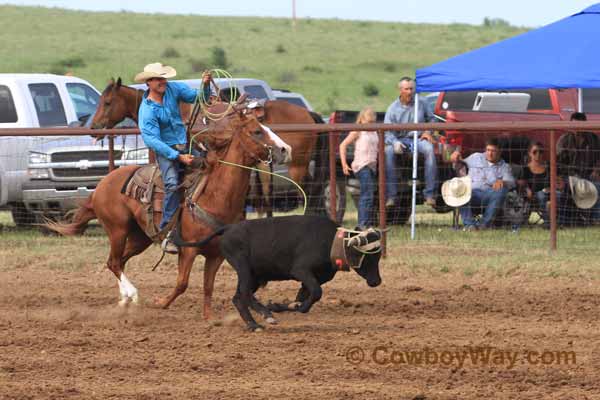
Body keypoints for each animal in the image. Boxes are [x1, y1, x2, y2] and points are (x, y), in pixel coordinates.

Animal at [48, 107, 288, 318]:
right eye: (257, 131)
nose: (286, 149)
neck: (216, 196)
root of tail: (103, 183)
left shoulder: (216, 254)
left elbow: (208, 286)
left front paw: (210, 318)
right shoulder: (188, 250)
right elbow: (182, 283)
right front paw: (160, 303)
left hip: (140, 237)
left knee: (119, 262)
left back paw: (124, 300)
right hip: (117, 229)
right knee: (114, 262)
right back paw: (133, 295)